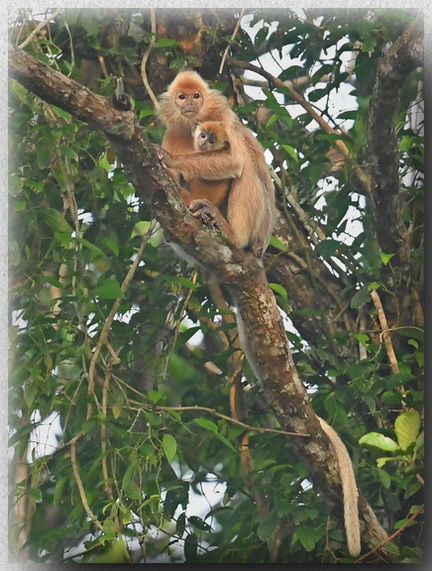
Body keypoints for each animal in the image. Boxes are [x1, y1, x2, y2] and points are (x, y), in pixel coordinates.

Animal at [157, 69, 360, 556]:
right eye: (181, 97)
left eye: (197, 96)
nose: (191, 106)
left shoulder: (223, 123)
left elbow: (234, 160)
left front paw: (174, 161)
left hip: (258, 229)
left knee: (244, 167)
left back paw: (223, 226)